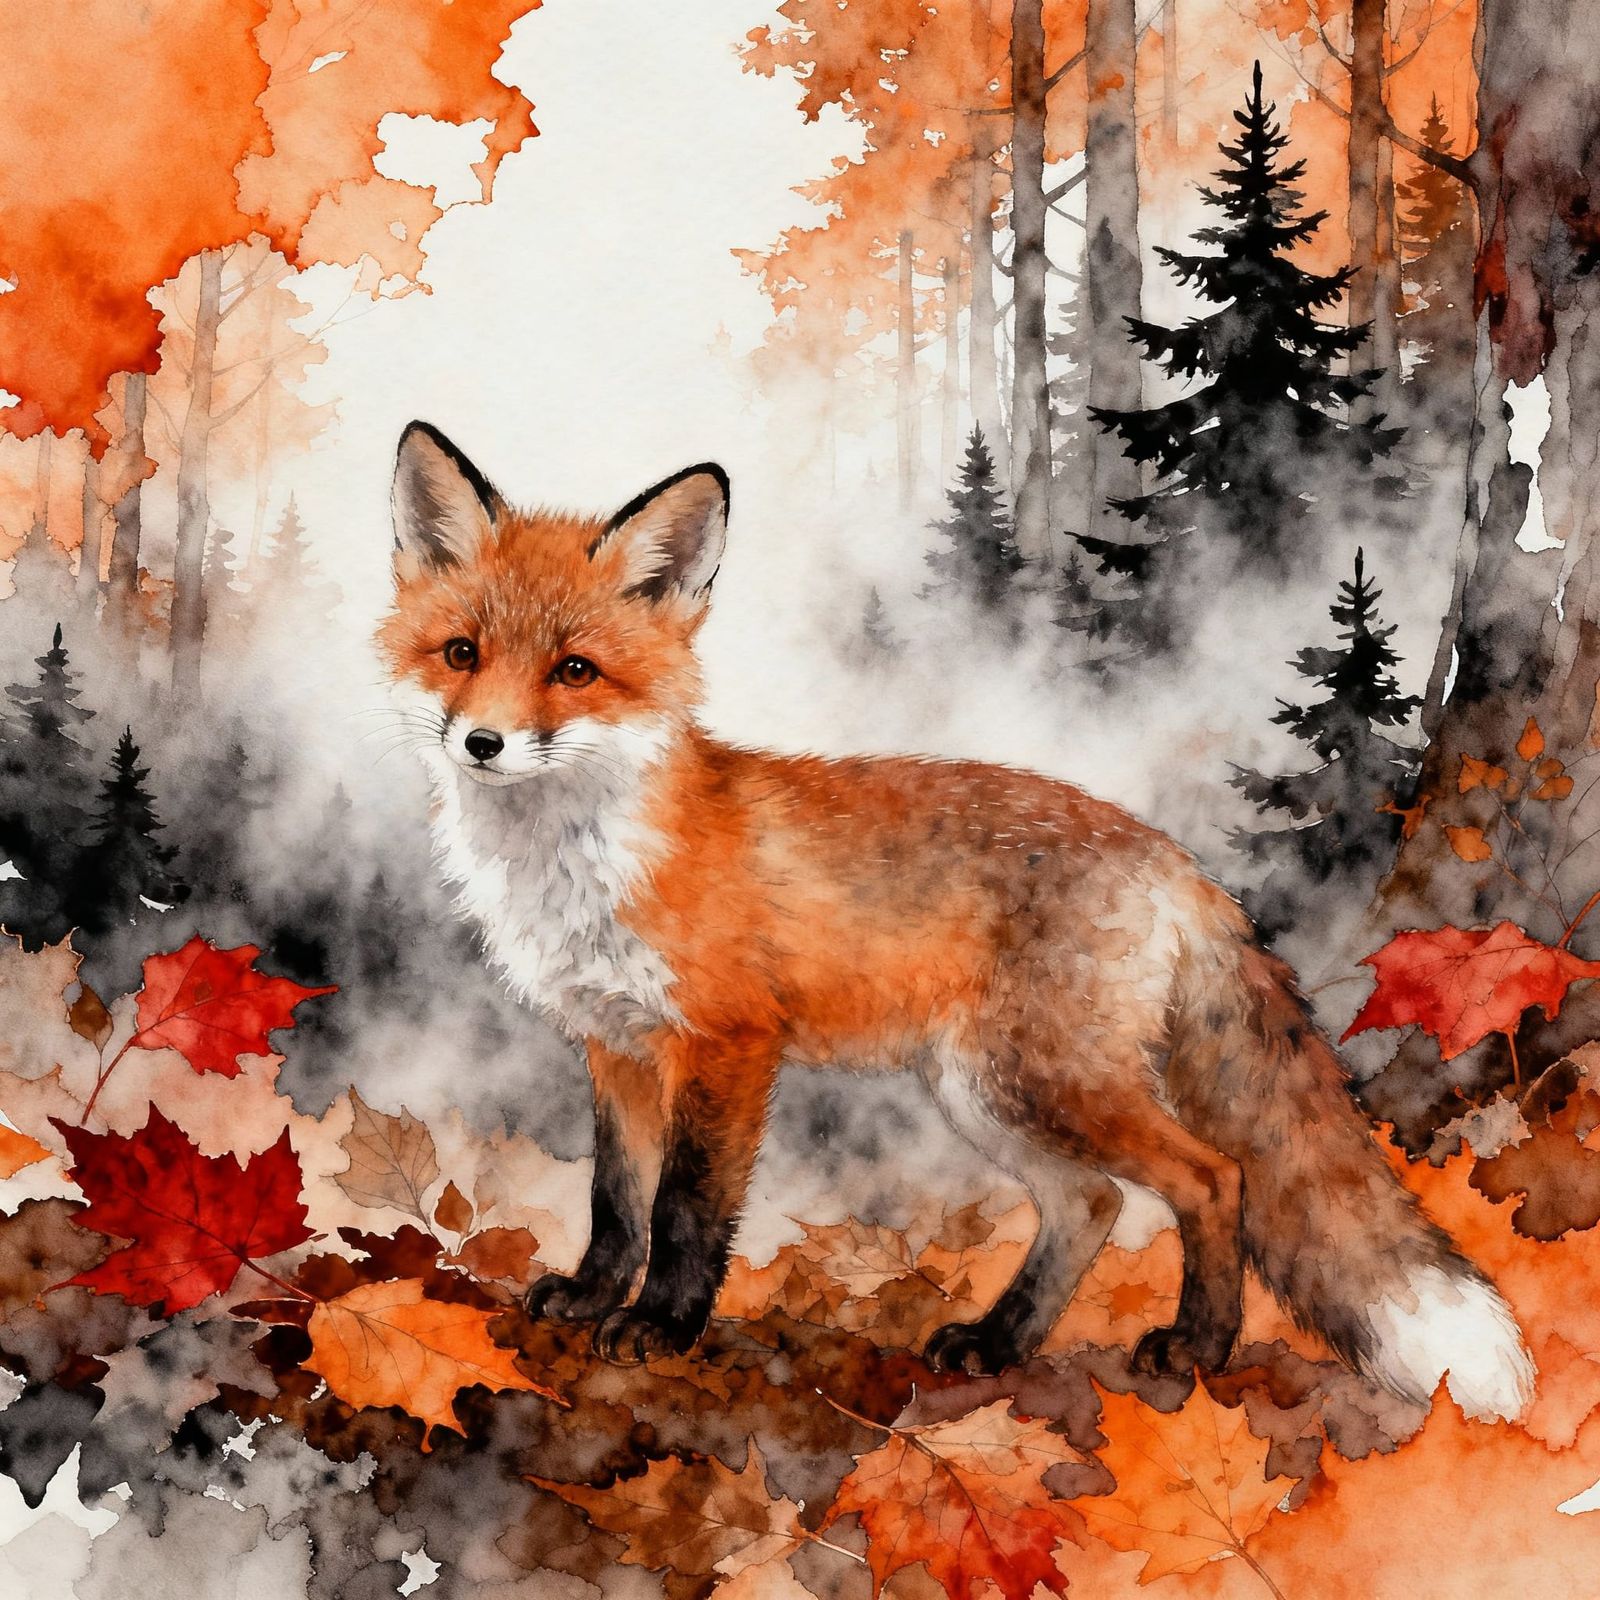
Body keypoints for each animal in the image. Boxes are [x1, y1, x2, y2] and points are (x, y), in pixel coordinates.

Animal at [378, 420, 1534, 1421]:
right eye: (461, 652)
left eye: (574, 670)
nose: (482, 743)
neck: (577, 864)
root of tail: (1173, 859)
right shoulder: (613, 1043)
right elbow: (616, 1199)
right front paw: (589, 1296)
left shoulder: (729, 1043)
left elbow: (686, 1207)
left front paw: (662, 1323)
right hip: (987, 1090)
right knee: (1092, 1205)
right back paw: (999, 1339)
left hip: (1045, 1081)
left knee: (1214, 1178)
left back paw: (1197, 1345)